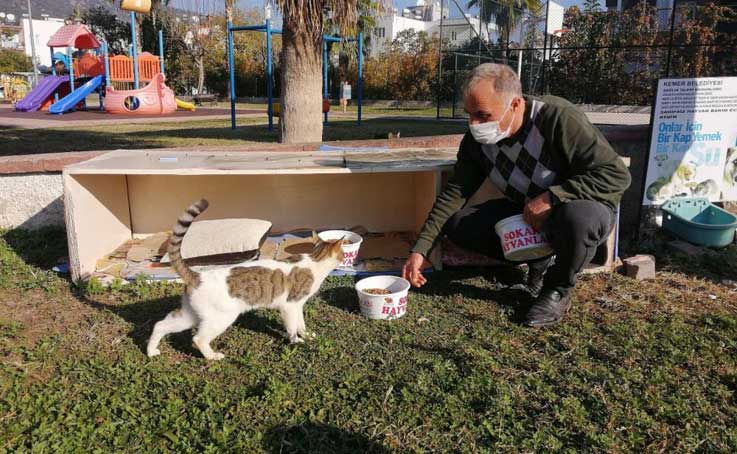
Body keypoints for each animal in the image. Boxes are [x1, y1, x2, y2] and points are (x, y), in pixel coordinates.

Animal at [150, 200, 348, 360]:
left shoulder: (298, 306)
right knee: (198, 338)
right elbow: (292, 327)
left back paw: (151, 351)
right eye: (343, 253)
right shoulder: (290, 306)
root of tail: (197, 275)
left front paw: (306, 335)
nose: (345, 256)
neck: (315, 260)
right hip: (221, 318)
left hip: (190, 315)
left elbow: (301, 324)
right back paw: (212, 356)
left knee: (160, 324)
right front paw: (296, 341)